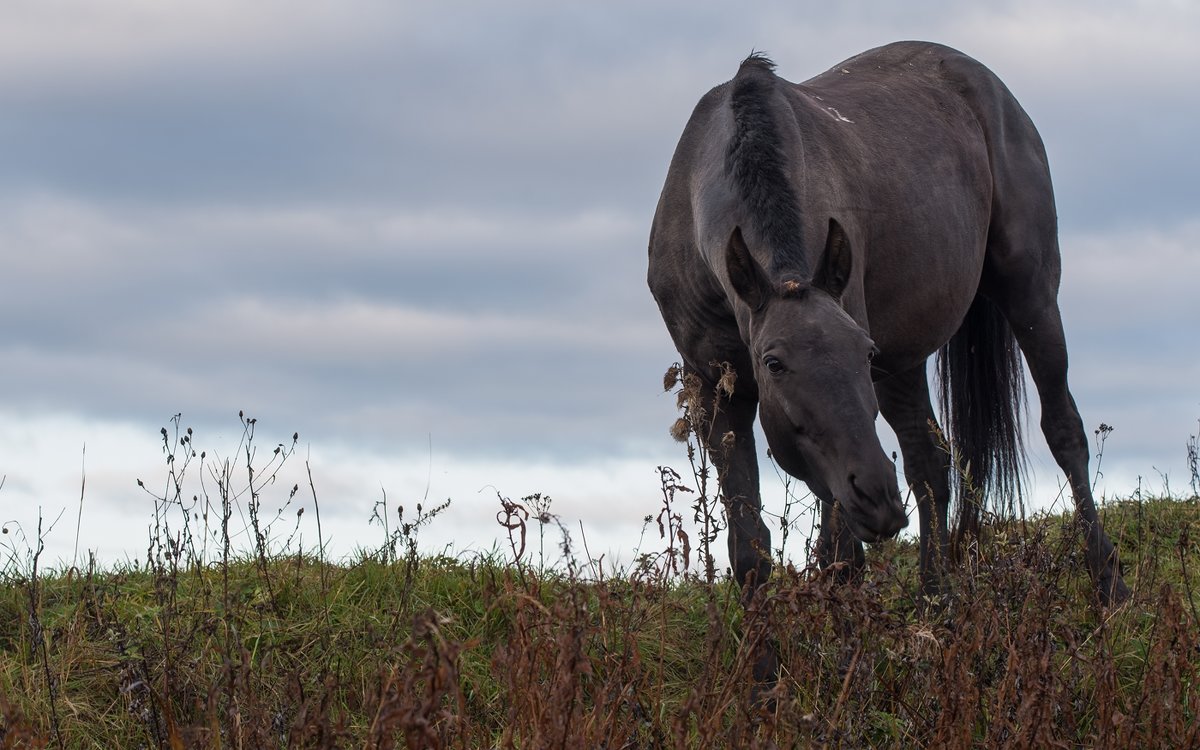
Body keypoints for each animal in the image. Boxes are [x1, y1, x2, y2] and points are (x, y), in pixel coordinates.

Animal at [648, 42, 1123, 614]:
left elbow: (839, 557)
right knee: (928, 464)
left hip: (1029, 296)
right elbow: (750, 548)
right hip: (907, 362)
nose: (877, 496)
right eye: (774, 363)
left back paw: (1108, 584)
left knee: (1064, 431)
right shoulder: (717, 393)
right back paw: (937, 603)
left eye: (863, 352)